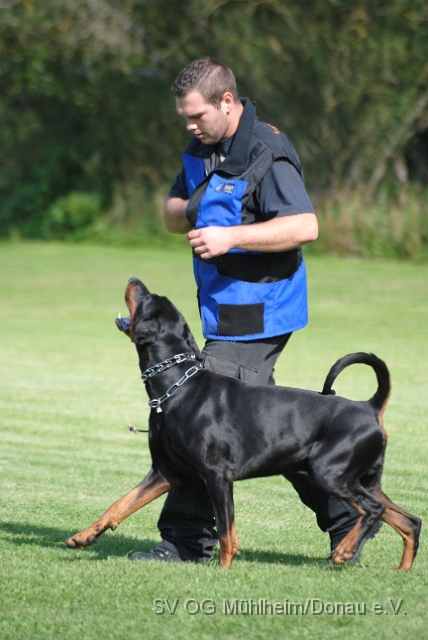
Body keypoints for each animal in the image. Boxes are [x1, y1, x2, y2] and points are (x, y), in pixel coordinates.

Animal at [66, 278, 422, 568]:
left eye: (147, 297)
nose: (133, 279)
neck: (177, 386)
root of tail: (369, 407)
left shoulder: (217, 475)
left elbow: (227, 532)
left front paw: (223, 571)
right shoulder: (167, 472)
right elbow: (120, 503)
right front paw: (84, 536)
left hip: (329, 473)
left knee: (372, 511)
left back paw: (345, 550)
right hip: (363, 480)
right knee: (408, 520)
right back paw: (400, 570)